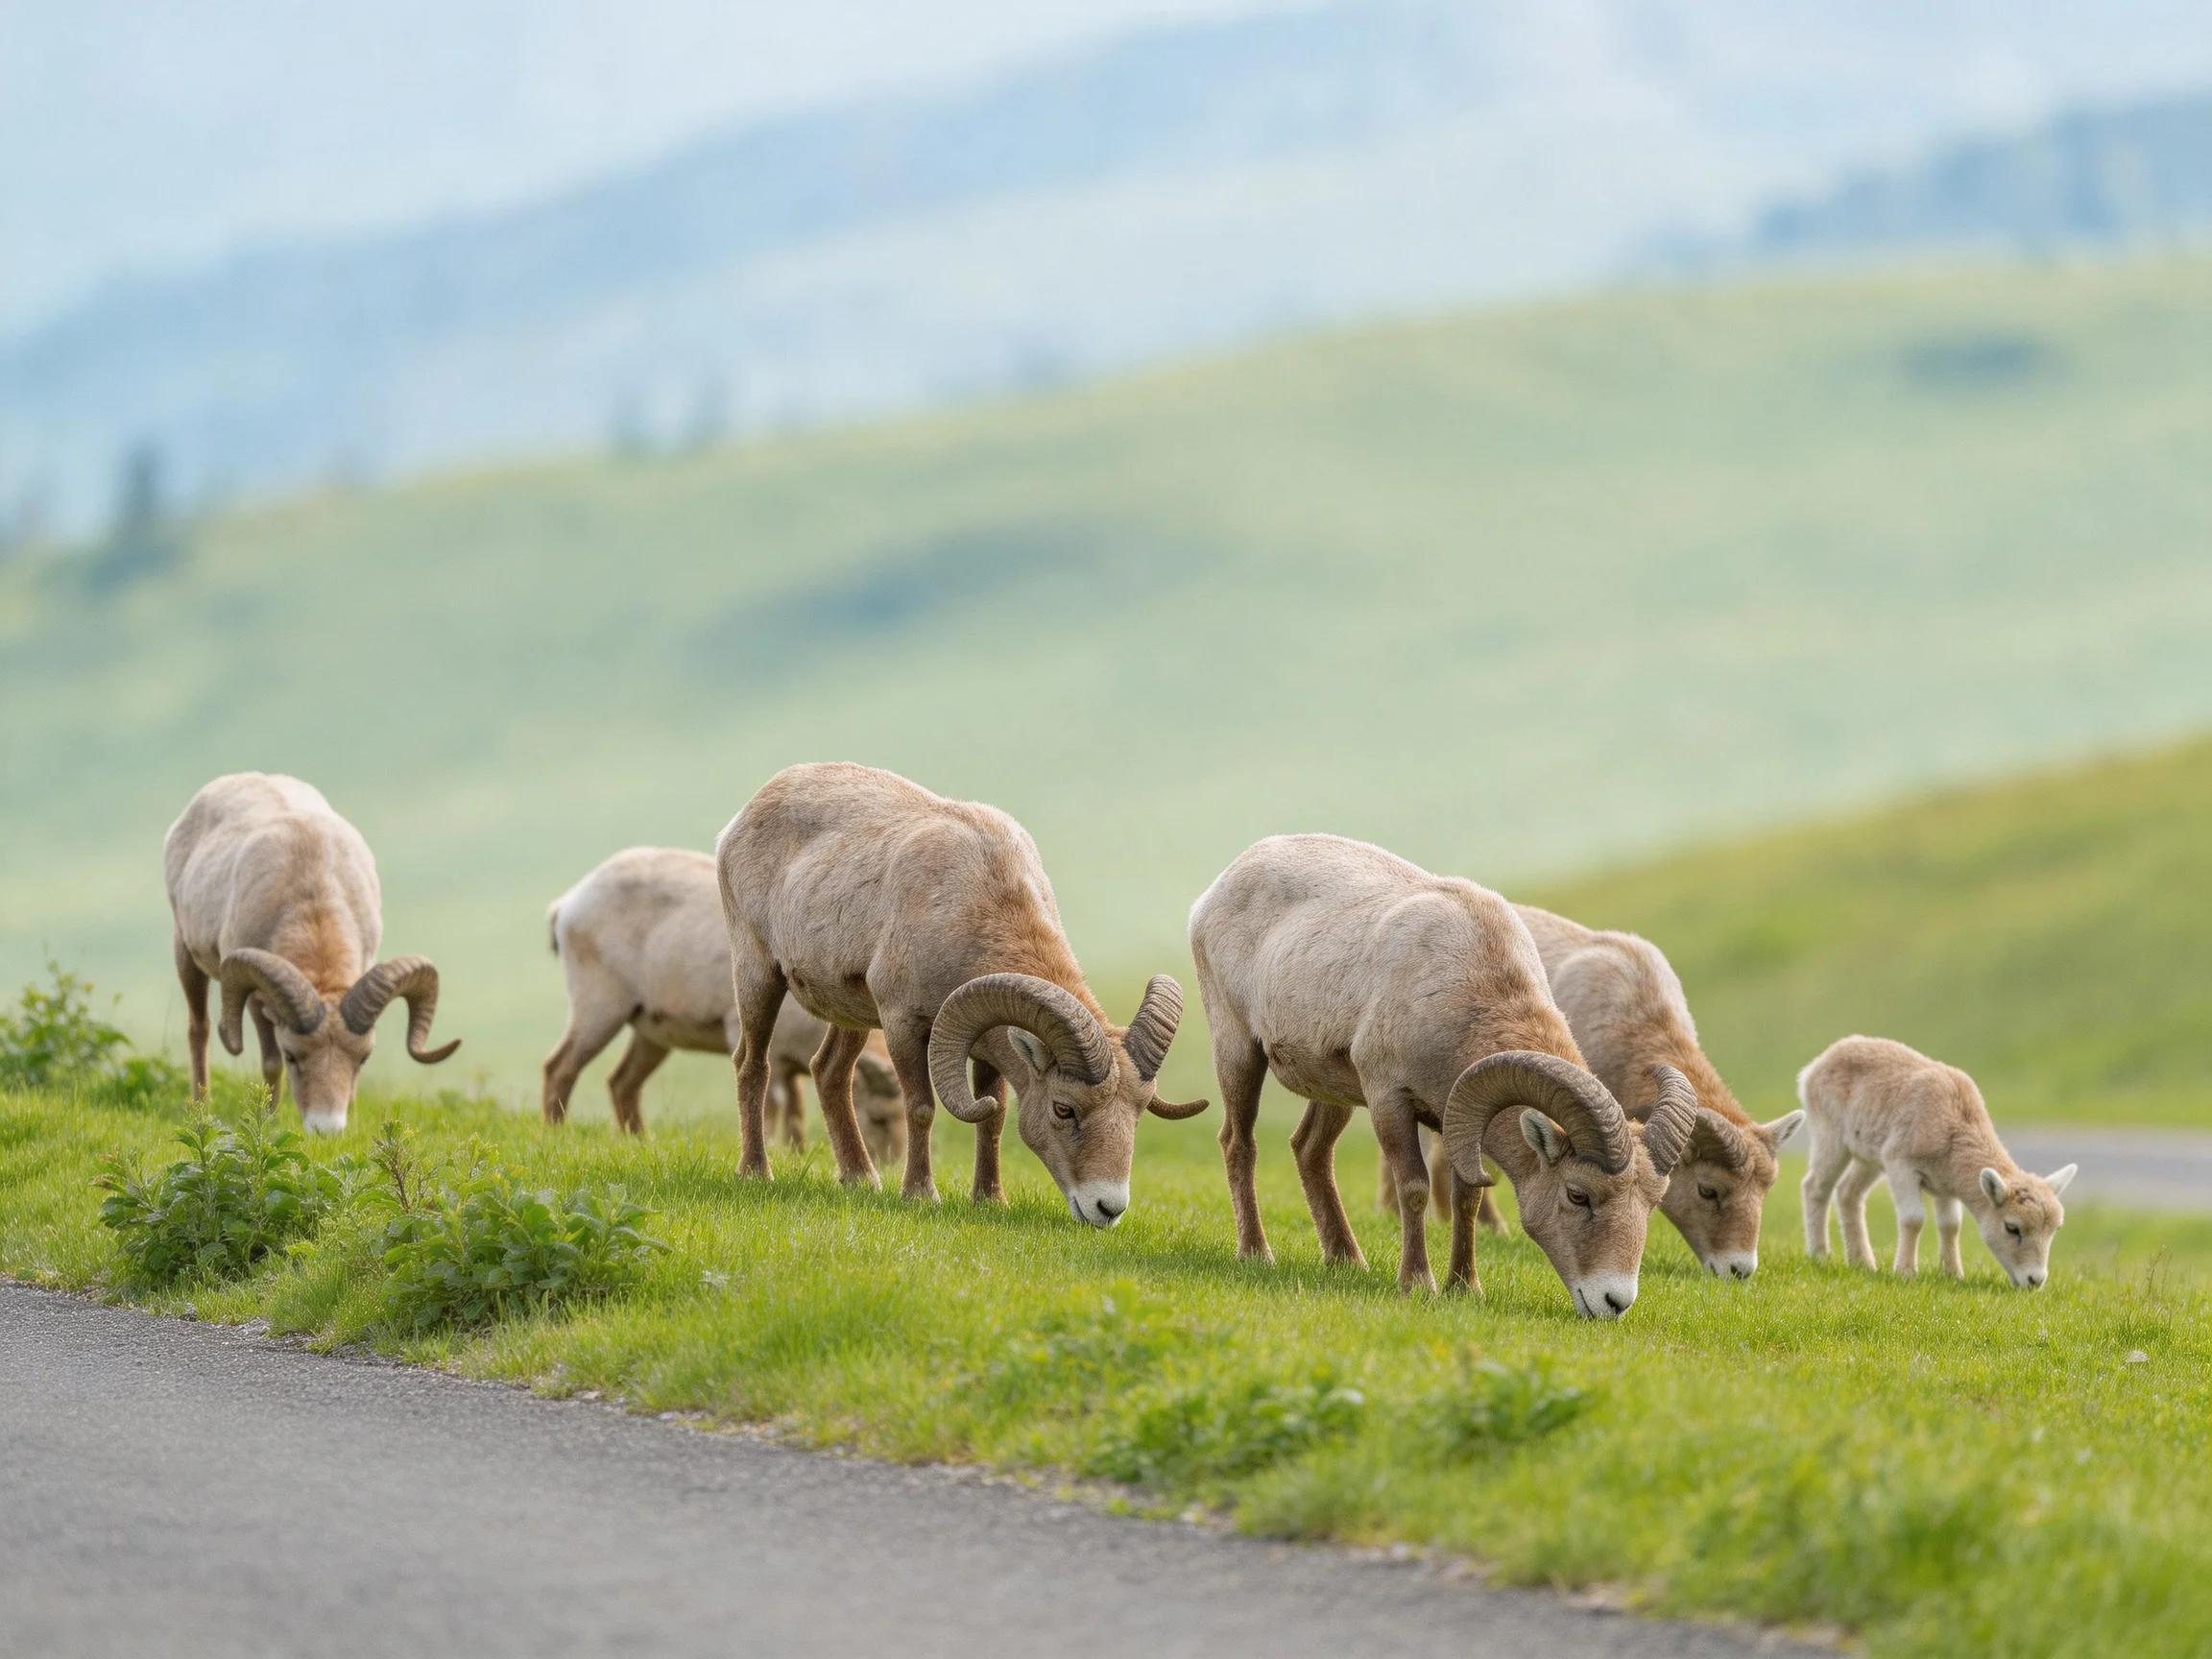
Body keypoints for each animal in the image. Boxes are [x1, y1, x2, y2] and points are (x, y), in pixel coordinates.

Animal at [163, 772, 458, 1133]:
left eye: (363, 1057)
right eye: (292, 1055)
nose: (327, 1130)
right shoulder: (256, 1000)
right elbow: (269, 1063)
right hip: (185, 955)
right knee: (199, 1030)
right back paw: (202, 1112)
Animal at [542, 846, 905, 1163]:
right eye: (879, 1118)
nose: (890, 1163)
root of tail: (568, 905)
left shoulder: (791, 1066)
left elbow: (797, 1111)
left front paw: (796, 1154)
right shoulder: (761, 1044)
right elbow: (774, 1102)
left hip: (649, 1035)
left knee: (622, 1083)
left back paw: (641, 1141)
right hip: (599, 1008)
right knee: (560, 1068)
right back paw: (557, 1134)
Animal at [715, 763, 1207, 1226]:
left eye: (1138, 1110)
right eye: (1063, 1109)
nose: (1108, 1209)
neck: (972, 905)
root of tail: (741, 819)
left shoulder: (983, 1043)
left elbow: (993, 1116)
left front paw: (990, 1201)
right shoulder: (903, 1025)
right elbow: (921, 1108)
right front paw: (920, 1195)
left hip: (851, 1014)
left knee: (829, 1073)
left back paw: (862, 1179)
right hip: (758, 975)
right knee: (752, 1066)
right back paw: (757, 1172)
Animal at [1189, 834, 1697, 1312]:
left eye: (1653, 1202)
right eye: (1577, 1195)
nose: (1615, 1301)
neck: (1465, 989)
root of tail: (1216, 890)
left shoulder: (1457, 1117)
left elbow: (1465, 1200)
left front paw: (1465, 1287)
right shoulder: (1389, 1099)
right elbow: (1414, 1187)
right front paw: (1419, 1284)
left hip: (1334, 1092)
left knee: (1310, 1150)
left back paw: (1347, 1260)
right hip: (1238, 1052)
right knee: (1239, 1144)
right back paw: (1257, 1253)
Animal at [1799, 1035, 2077, 1288]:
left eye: (2055, 1230)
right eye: (2012, 1228)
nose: (2035, 1281)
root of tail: (1816, 1065)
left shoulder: (1945, 1185)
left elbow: (1951, 1225)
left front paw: (1953, 1274)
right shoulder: (1900, 1163)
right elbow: (1913, 1218)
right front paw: (1906, 1273)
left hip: (1869, 1155)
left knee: (1848, 1193)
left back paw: (1863, 1263)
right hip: (1829, 1132)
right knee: (1816, 1186)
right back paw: (1820, 1256)